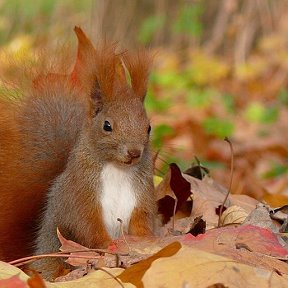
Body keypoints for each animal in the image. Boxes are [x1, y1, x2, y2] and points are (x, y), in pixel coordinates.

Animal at [0, 27, 155, 280]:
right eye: (107, 126)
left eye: (148, 127)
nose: (134, 152)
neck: (117, 170)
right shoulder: (80, 195)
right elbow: (87, 226)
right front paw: (109, 246)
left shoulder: (142, 196)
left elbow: (144, 220)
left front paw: (146, 242)